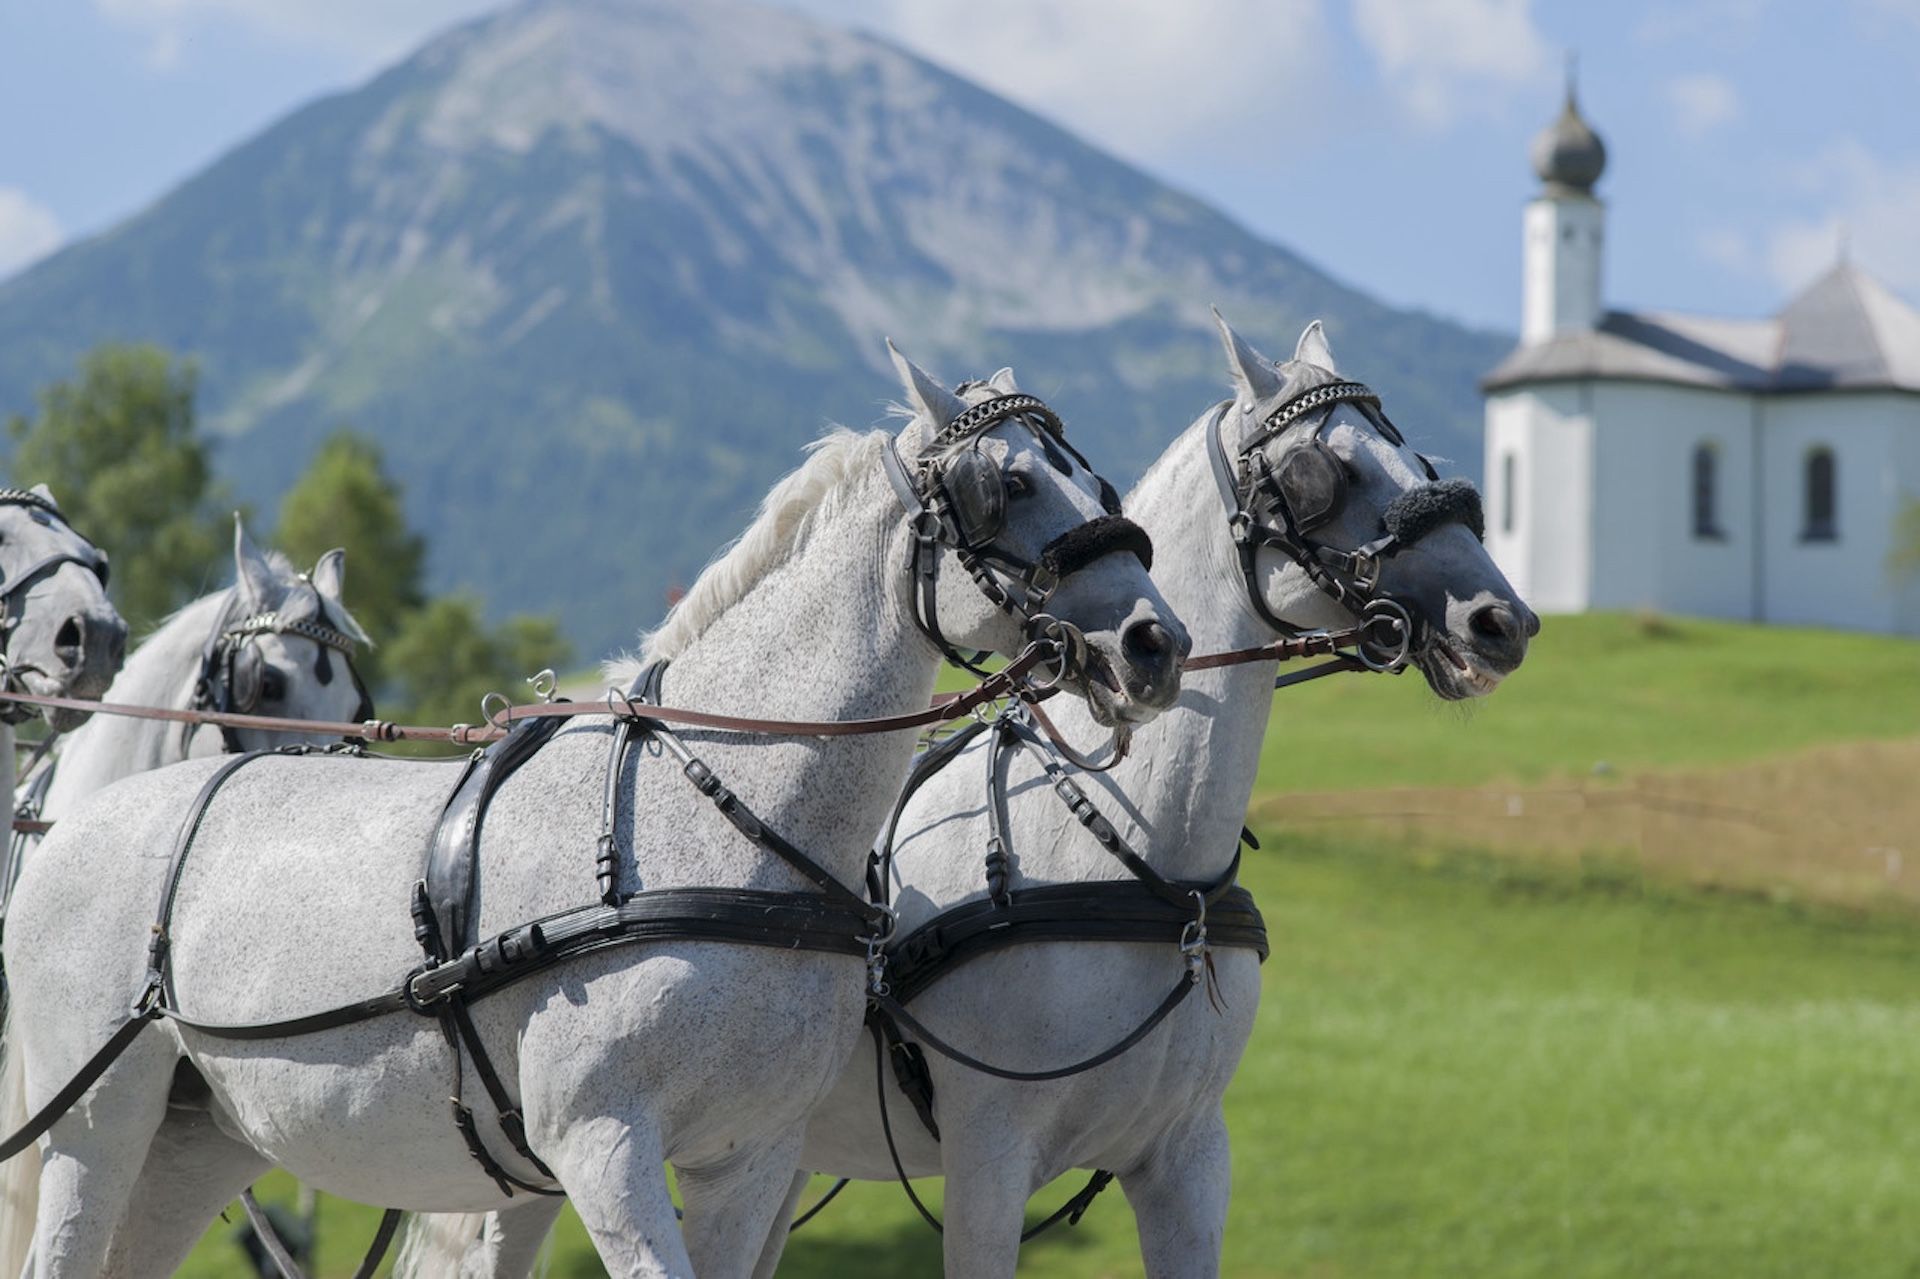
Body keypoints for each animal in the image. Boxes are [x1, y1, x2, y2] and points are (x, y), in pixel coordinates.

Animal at [0, 344, 1186, 1278]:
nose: (1155, 642)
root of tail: (74, 833)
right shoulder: (603, 1148)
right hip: (94, 1127)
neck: (715, 819)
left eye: (1091, 474)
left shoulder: (750, 1159)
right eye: (1010, 483)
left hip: (196, 1142)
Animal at [392, 317, 1537, 1278]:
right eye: (1325, 471)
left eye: (1423, 461)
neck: (1133, 856)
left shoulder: (1187, 1157)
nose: (1503, 620)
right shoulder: (993, 1156)